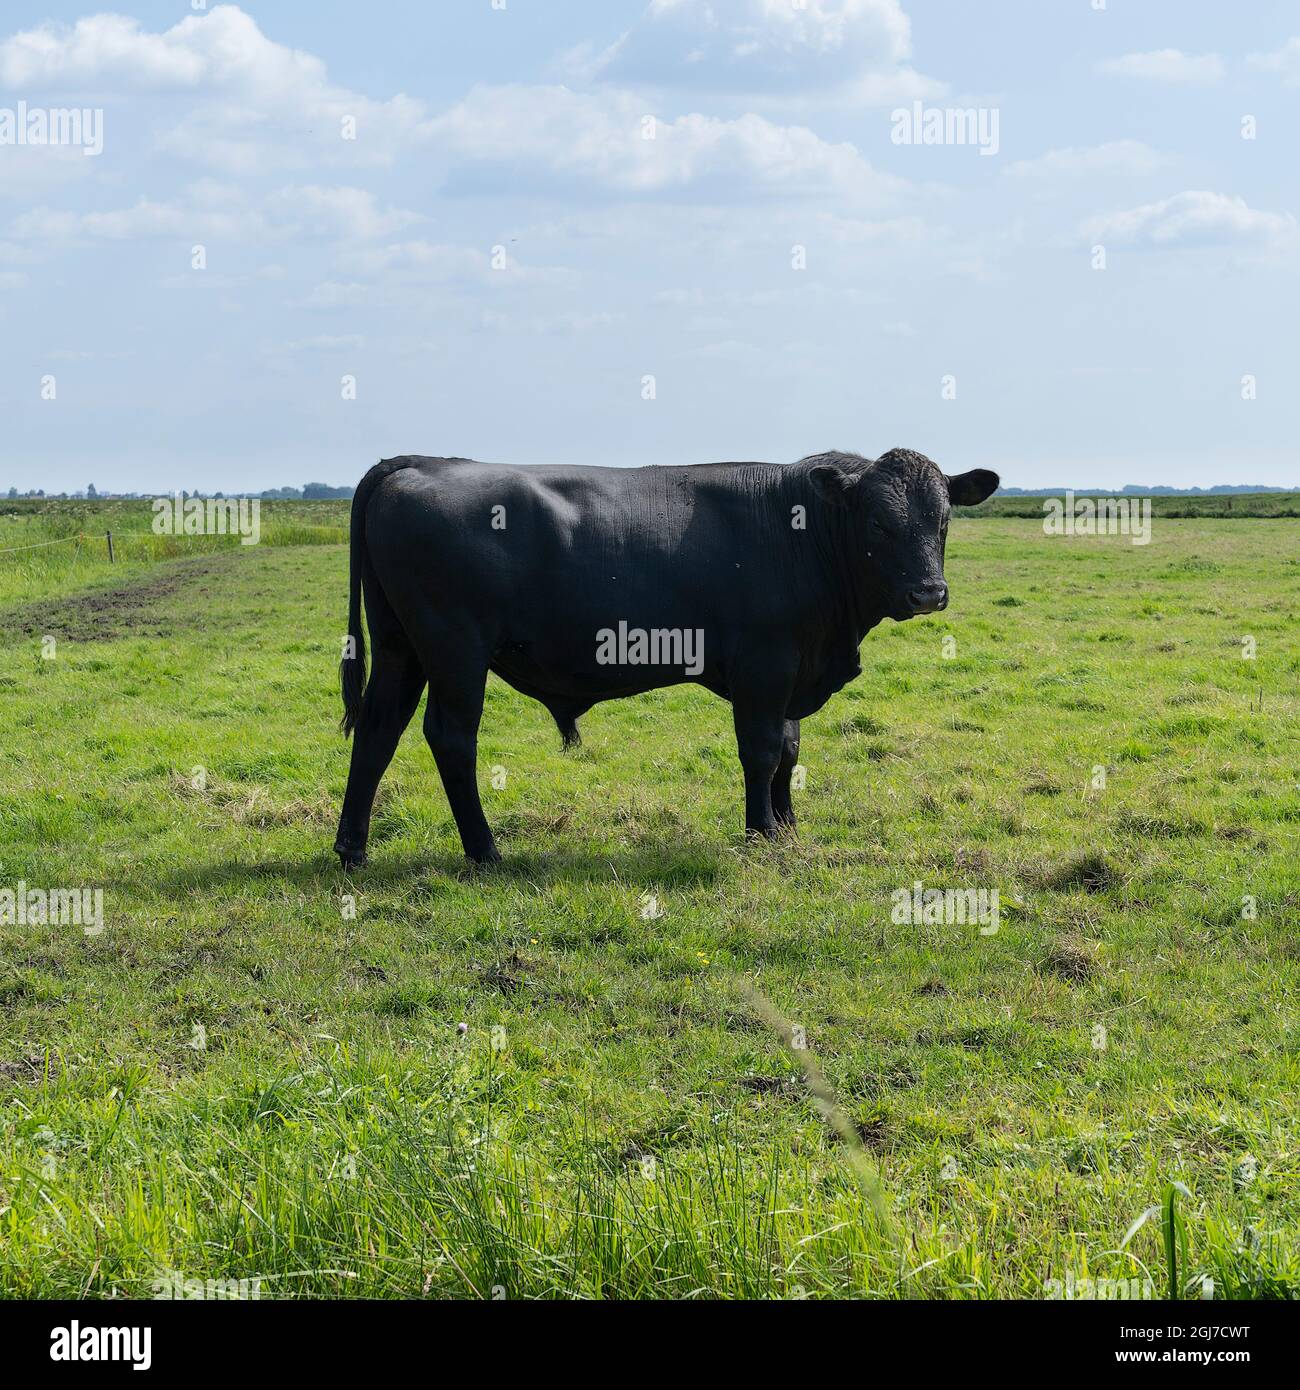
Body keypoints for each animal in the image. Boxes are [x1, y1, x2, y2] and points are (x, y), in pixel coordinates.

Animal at [332, 444, 995, 861]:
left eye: (942, 520)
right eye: (879, 522)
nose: (928, 592)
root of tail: (421, 462)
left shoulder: (792, 670)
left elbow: (789, 751)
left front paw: (787, 829)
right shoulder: (765, 665)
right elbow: (761, 752)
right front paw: (760, 833)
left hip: (400, 647)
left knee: (379, 729)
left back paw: (352, 848)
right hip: (455, 650)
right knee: (451, 737)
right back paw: (484, 849)